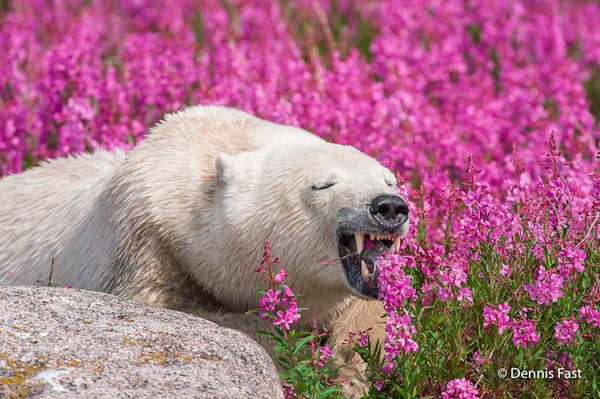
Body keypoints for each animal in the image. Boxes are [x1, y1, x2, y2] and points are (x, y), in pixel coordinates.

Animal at [0, 105, 408, 394]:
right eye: (322, 184)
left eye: (389, 179)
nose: (389, 206)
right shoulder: (145, 242)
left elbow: (367, 313)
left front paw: (353, 364)